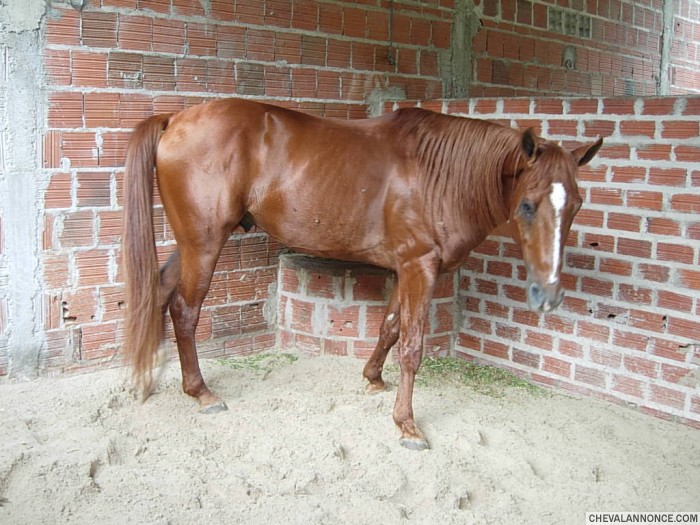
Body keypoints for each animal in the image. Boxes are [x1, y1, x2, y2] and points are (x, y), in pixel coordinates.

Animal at [122, 98, 602, 450]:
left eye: (577, 204)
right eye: (528, 204)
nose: (548, 295)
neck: (439, 175)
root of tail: (175, 118)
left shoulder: (406, 267)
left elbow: (390, 328)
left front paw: (373, 378)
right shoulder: (420, 267)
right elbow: (412, 346)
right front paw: (407, 424)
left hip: (190, 245)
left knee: (161, 295)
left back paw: (151, 379)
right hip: (204, 244)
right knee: (185, 310)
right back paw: (201, 392)